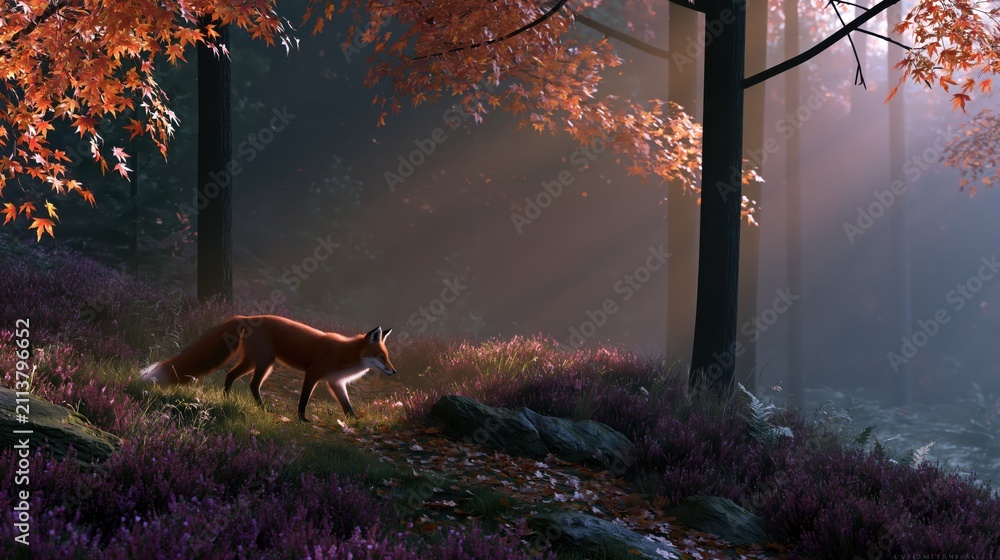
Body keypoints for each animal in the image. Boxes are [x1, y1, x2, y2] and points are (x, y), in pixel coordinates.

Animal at [139, 315, 396, 421]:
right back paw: (262, 408)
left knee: (231, 375)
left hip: (253, 361)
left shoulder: (336, 382)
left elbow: (347, 406)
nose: (394, 372)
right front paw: (302, 419)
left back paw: (227, 398)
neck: (346, 355)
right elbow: (303, 399)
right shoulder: (313, 373)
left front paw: (355, 421)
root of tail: (248, 316)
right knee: (252, 384)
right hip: (265, 363)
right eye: (381, 357)